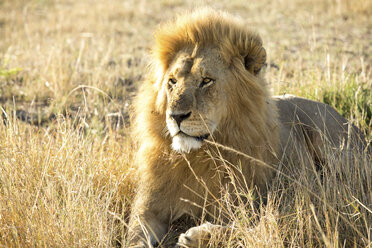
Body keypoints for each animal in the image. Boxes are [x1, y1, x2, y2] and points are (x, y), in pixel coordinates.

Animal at [127, 8, 366, 247]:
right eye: (172, 81)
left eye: (206, 80)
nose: (175, 116)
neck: (200, 155)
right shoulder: (147, 209)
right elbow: (134, 237)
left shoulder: (255, 202)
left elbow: (247, 227)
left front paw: (197, 236)